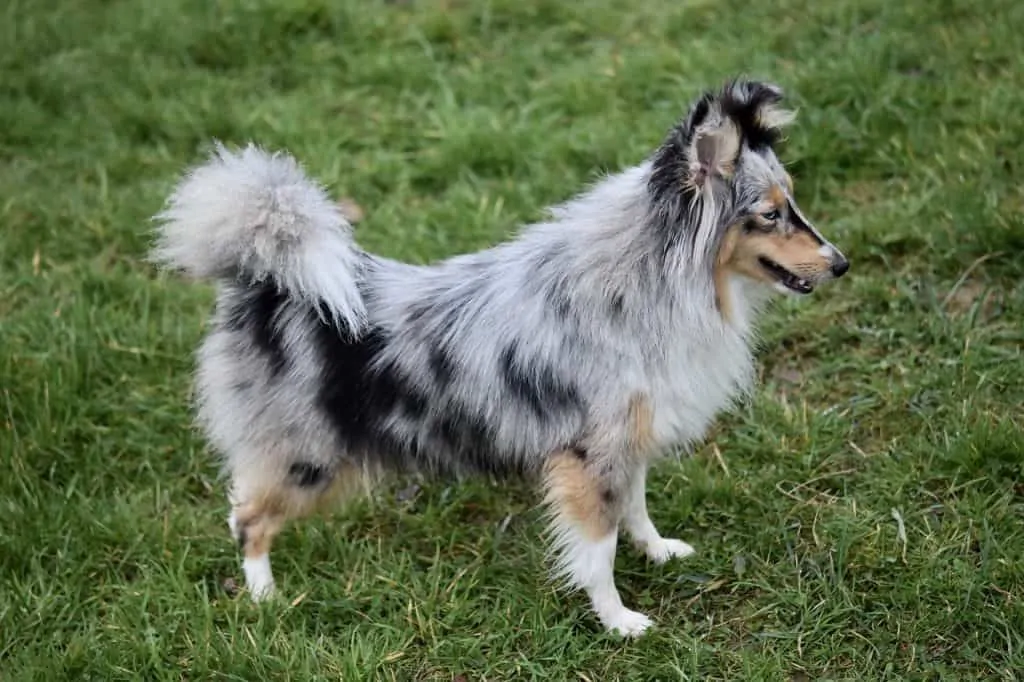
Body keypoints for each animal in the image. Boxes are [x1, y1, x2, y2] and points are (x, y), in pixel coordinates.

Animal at [153, 78, 847, 630]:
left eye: (791, 203)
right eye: (770, 215)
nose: (841, 263)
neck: (646, 281)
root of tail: (263, 281)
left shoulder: (628, 440)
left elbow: (636, 506)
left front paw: (657, 552)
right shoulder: (588, 457)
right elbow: (597, 551)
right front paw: (619, 621)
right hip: (306, 458)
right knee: (248, 518)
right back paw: (265, 597)